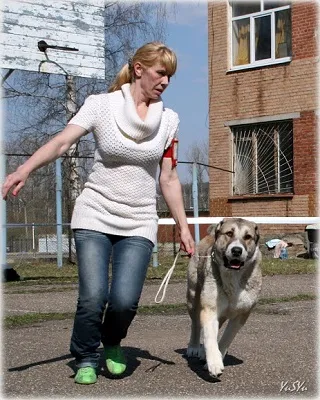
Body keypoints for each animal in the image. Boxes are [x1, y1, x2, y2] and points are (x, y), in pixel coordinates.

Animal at [186, 217, 262, 376]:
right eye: (229, 233)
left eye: (248, 237)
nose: (236, 250)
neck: (233, 275)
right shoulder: (210, 309)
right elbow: (209, 335)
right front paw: (214, 363)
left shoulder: (242, 315)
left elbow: (227, 337)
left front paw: (217, 355)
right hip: (193, 296)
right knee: (196, 323)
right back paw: (194, 347)